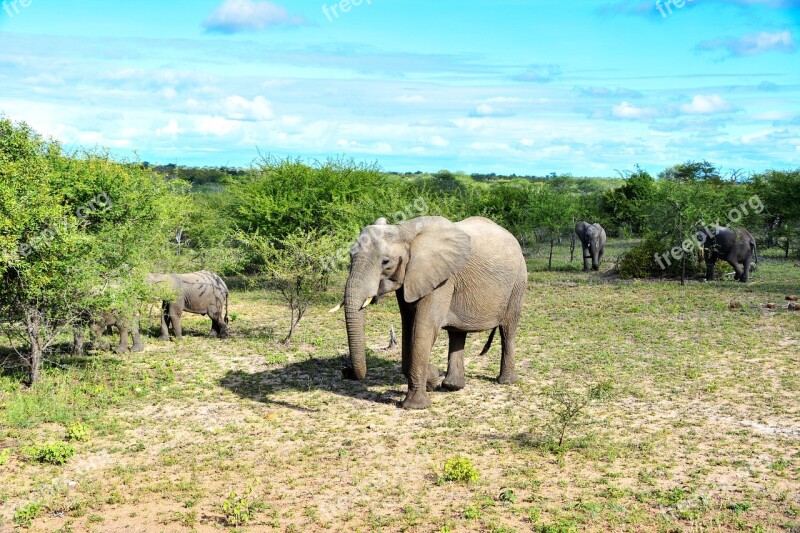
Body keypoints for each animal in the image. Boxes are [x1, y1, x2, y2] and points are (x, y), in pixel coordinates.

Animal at [336, 214, 528, 410]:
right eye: (350, 255)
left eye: (385, 262)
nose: (346, 371)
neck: (404, 230)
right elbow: (408, 326)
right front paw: (432, 378)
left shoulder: (441, 279)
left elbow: (423, 329)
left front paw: (415, 405)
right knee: (457, 333)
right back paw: (452, 386)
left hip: (518, 282)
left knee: (507, 330)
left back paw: (506, 381)